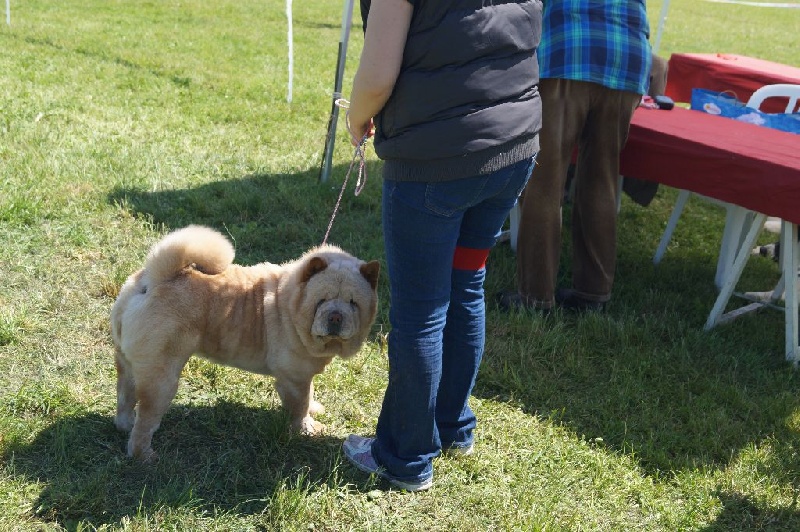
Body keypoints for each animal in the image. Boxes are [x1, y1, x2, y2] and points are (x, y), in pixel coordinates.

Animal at [110, 225, 382, 462]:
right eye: (321, 301)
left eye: (353, 303)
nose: (335, 316)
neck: (289, 303)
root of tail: (154, 279)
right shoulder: (294, 379)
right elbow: (300, 404)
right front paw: (306, 428)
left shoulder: (303, 375)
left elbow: (310, 395)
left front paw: (313, 409)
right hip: (162, 379)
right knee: (146, 420)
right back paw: (144, 456)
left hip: (128, 364)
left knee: (125, 396)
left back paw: (125, 425)